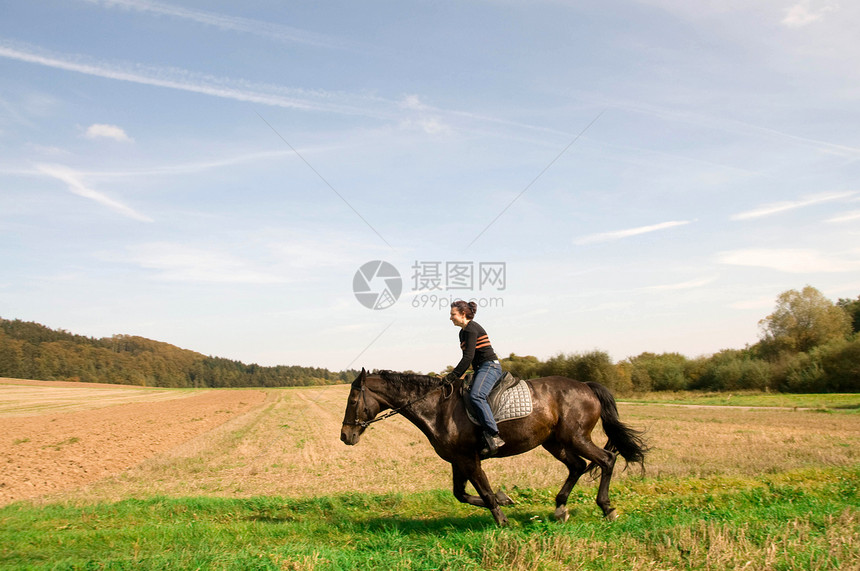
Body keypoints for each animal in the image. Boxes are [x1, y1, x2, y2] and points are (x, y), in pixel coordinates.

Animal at [338, 370, 644, 528]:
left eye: (352, 400)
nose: (345, 436)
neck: (437, 408)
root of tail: (586, 386)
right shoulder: (458, 461)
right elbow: (461, 494)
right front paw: (505, 499)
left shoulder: (469, 459)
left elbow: (483, 492)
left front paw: (503, 520)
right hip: (555, 442)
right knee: (578, 466)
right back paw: (560, 509)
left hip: (576, 437)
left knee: (606, 459)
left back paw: (607, 509)